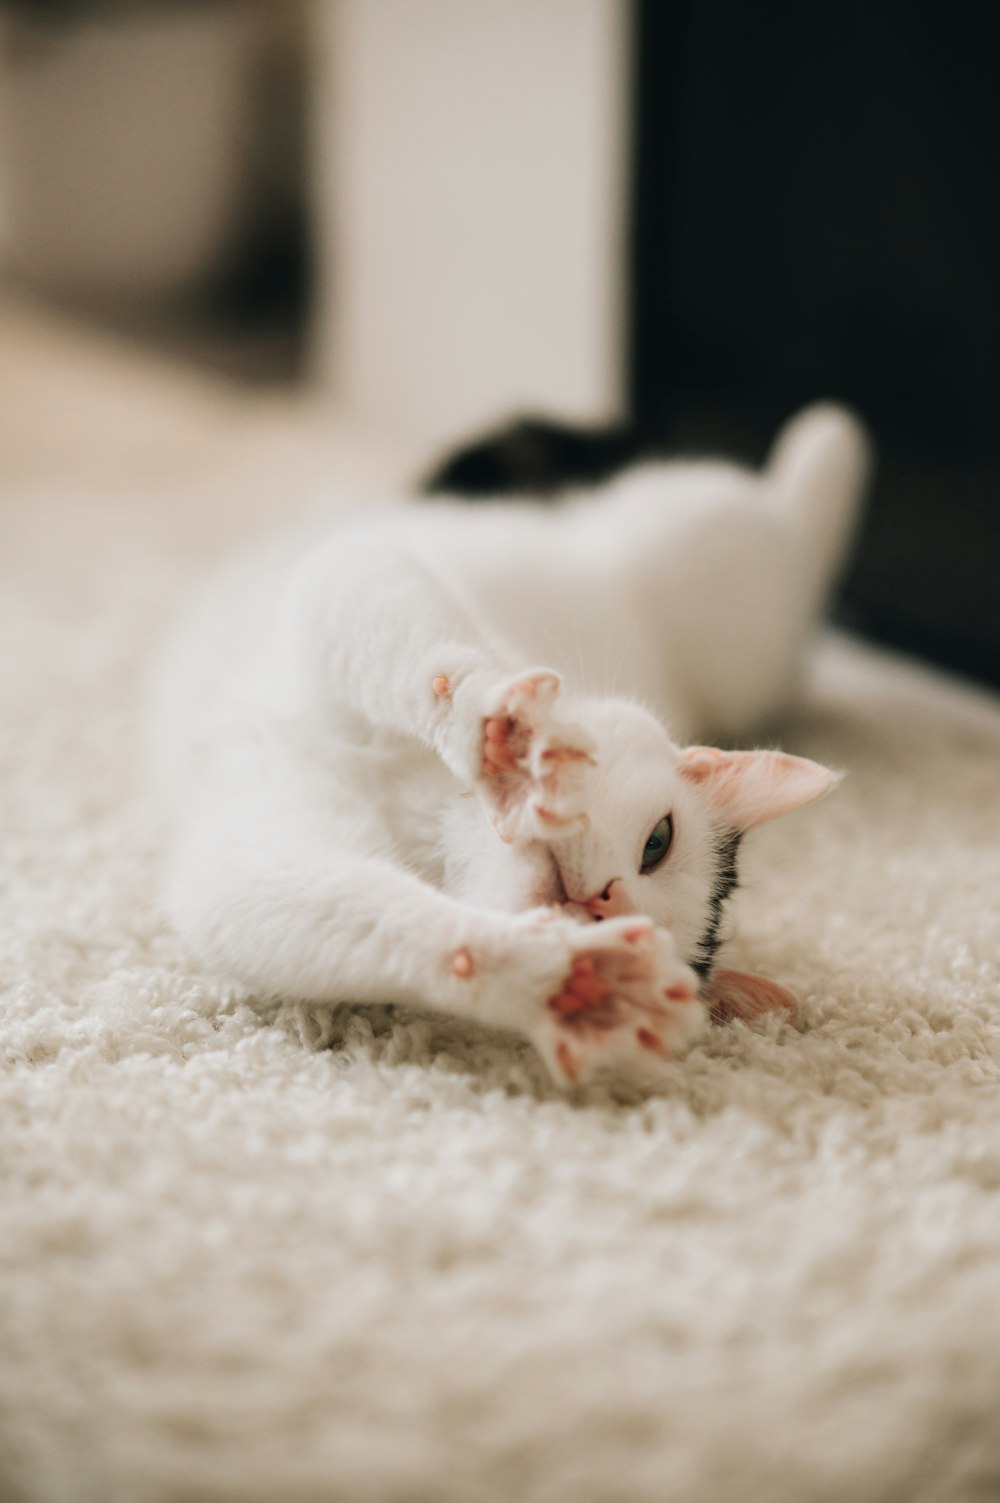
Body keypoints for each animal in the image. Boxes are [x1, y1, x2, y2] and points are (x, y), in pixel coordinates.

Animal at [144, 405, 872, 1088]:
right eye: (659, 842)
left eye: (657, 939)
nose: (601, 899)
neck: (428, 805)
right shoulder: (352, 582)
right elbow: (407, 629)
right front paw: (504, 736)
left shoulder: (253, 862)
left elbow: (328, 908)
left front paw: (571, 980)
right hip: (699, 562)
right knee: (782, 528)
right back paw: (825, 439)